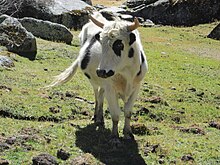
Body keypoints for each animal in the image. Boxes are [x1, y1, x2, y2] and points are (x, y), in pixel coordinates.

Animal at [47, 12, 149, 141]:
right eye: (101, 43)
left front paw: (128, 133)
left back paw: (100, 118)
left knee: (100, 96)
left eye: (119, 44)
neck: (126, 73)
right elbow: (115, 114)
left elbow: (127, 111)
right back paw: (97, 117)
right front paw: (114, 137)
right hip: (95, 81)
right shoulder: (110, 88)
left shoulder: (136, 88)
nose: (101, 72)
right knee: (97, 96)